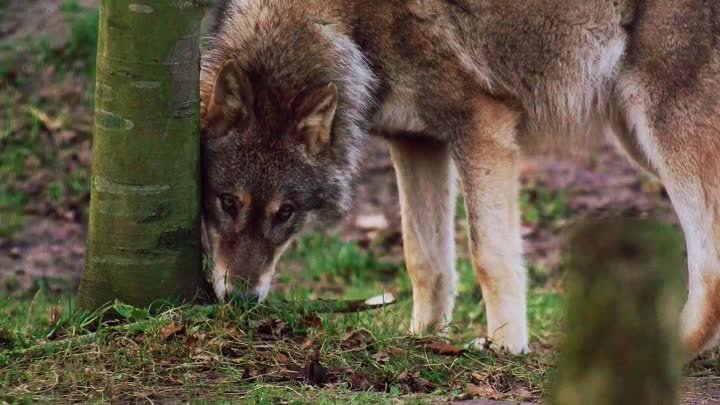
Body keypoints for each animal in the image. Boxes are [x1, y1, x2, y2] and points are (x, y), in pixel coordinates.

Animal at [200, 0, 720, 354]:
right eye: (227, 202)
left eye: (284, 212)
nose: (240, 300)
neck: (349, 26)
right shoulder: (415, 142)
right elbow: (424, 260)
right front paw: (424, 338)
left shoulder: (482, 127)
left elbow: (489, 256)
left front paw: (505, 348)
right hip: (638, 141)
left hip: (663, 132)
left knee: (708, 265)